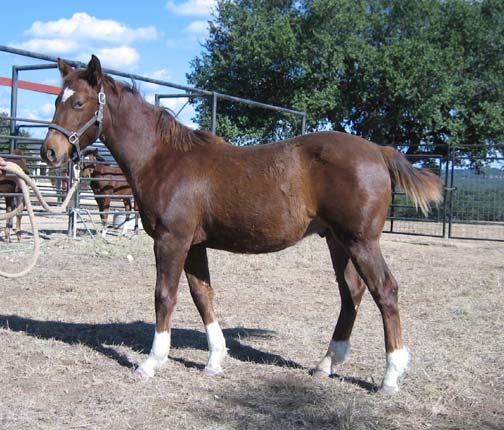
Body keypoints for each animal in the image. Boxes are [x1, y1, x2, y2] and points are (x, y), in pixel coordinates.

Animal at [38, 56, 440, 394]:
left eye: (78, 103)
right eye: (56, 100)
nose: (50, 152)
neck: (164, 159)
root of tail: (379, 151)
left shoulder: (171, 240)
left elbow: (164, 296)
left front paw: (151, 362)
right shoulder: (194, 244)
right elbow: (203, 295)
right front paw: (215, 360)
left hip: (361, 241)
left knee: (385, 291)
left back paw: (390, 377)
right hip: (337, 241)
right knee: (351, 292)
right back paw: (326, 364)